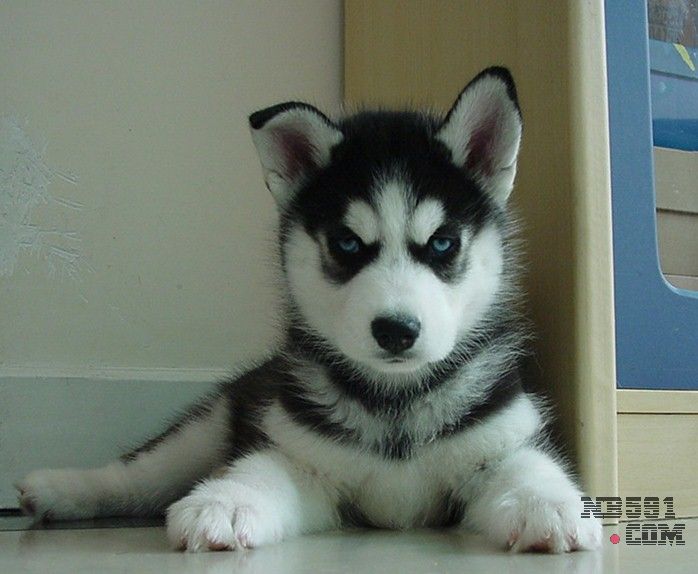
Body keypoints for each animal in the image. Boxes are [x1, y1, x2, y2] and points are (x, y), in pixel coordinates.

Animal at [16, 67, 602, 553]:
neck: (395, 405)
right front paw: (225, 502)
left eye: (442, 243)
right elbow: (256, 471)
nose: (396, 330)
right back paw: (58, 488)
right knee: (139, 473)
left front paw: (550, 503)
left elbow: (529, 467)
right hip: (214, 422)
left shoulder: (500, 440)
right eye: (346, 243)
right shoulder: (299, 454)